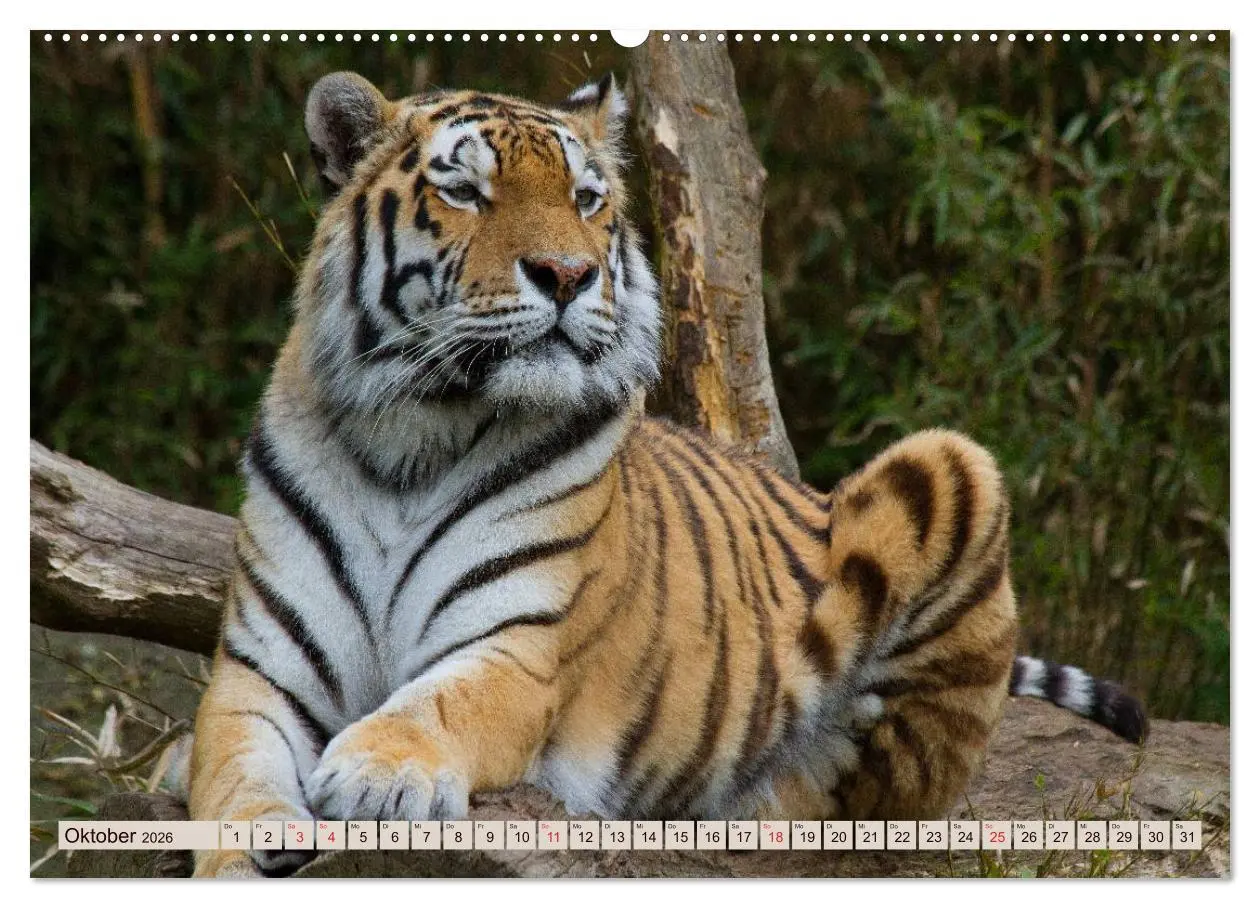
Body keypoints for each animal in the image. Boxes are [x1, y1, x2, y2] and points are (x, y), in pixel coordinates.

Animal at [187, 71, 1147, 877]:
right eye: (464, 192)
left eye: (585, 200)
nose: (567, 275)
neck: (413, 435)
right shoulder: (259, 668)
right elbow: (227, 770)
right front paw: (250, 840)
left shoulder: (517, 648)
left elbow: (434, 705)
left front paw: (374, 771)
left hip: (952, 466)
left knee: (863, 800)